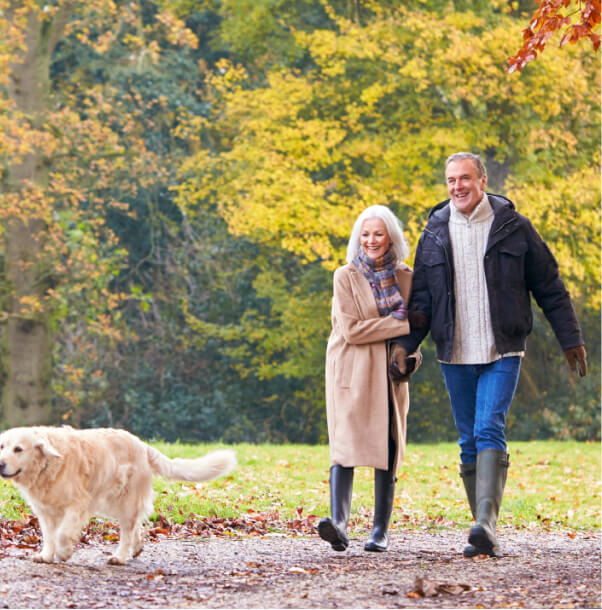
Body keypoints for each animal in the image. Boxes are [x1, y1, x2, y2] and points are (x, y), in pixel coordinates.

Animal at [0, 426, 236, 564]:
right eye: (2, 446)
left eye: (18, 449)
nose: (1, 463)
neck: (47, 466)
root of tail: (142, 445)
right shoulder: (45, 511)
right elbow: (49, 536)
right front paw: (46, 556)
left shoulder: (77, 505)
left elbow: (62, 534)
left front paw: (64, 552)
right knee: (135, 526)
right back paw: (136, 549)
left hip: (124, 501)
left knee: (128, 530)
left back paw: (120, 557)